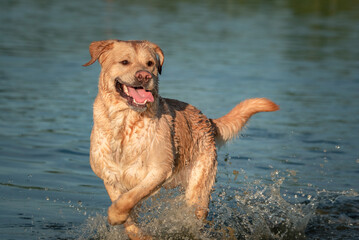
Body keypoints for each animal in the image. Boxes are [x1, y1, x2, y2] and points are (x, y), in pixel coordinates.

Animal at [83, 39, 278, 238]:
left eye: (150, 64)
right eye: (124, 62)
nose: (144, 76)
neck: (125, 123)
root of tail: (206, 119)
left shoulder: (159, 170)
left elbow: (130, 198)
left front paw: (115, 216)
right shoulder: (109, 176)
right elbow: (128, 214)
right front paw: (137, 232)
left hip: (198, 190)